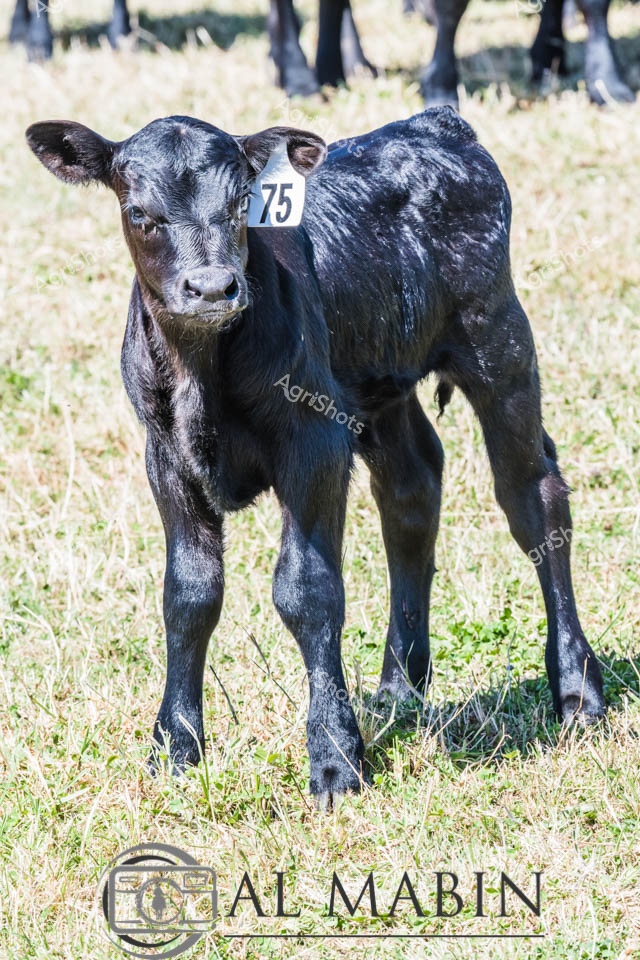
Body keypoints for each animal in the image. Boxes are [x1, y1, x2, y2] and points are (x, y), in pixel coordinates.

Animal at [25, 108, 605, 807]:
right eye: (140, 213)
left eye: (241, 204)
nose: (212, 287)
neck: (203, 372)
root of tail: (433, 123)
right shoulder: (165, 458)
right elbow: (189, 594)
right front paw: (175, 747)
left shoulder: (316, 443)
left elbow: (307, 590)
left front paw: (334, 759)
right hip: (377, 384)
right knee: (412, 490)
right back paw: (398, 690)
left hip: (499, 341)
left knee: (533, 498)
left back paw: (577, 692)